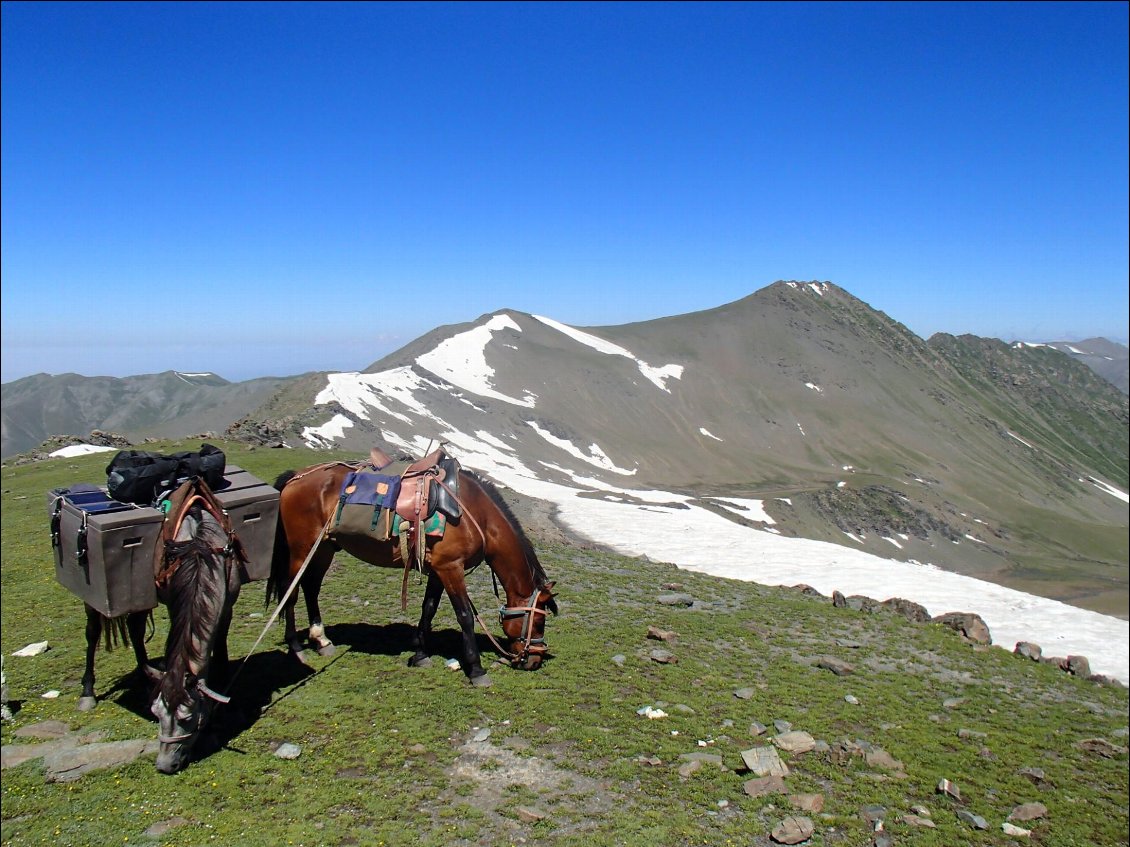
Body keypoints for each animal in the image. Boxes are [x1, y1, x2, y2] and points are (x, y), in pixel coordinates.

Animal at [271, 447, 558, 686]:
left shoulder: (439, 569)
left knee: (311, 588)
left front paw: (420, 655)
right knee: (291, 592)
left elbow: (428, 609)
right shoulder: (451, 568)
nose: (534, 661)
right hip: (302, 548)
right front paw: (477, 671)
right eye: (539, 622)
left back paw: (321, 641)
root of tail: (296, 477)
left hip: (324, 549)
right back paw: (297, 647)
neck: (475, 514)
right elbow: (464, 615)